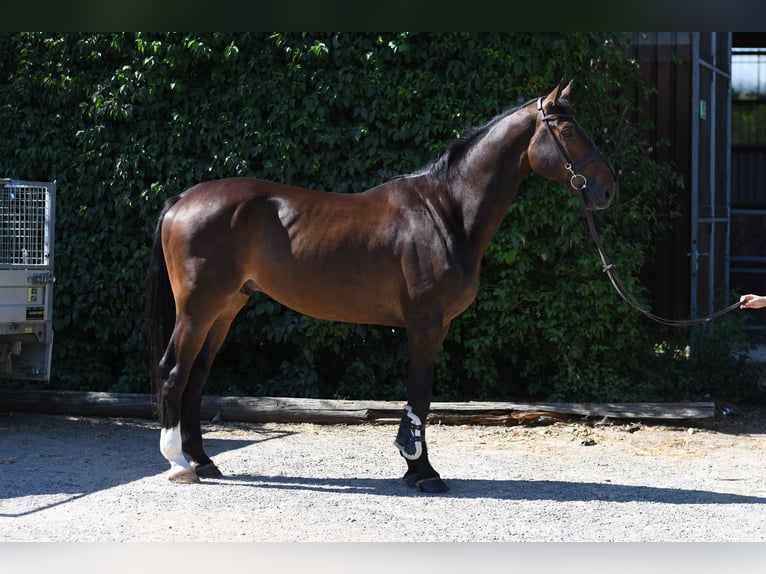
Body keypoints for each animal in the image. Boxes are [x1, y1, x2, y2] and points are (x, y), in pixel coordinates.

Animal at [145, 80, 616, 493]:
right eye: (568, 131)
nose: (608, 189)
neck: (446, 211)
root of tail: (182, 200)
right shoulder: (426, 323)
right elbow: (420, 397)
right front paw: (423, 473)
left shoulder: (435, 324)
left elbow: (417, 400)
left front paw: (414, 469)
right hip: (198, 308)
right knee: (174, 370)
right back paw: (179, 464)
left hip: (226, 308)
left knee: (197, 375)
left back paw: (204, 461)